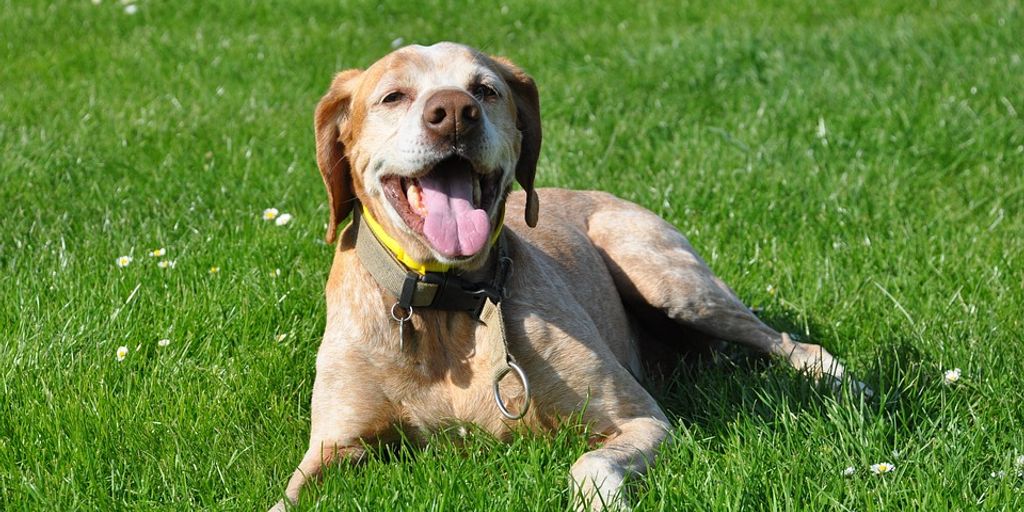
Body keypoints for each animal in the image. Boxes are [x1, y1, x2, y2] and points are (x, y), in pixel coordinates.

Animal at [270, 41, 847, 509]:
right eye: (393, 96)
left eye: (486, 89)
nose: (454, 113)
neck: (447, 305)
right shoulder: (332, 447)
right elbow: (288, 496)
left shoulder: (641, 418)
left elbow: (590, 464)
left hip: (666, 277)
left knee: (787, 341)